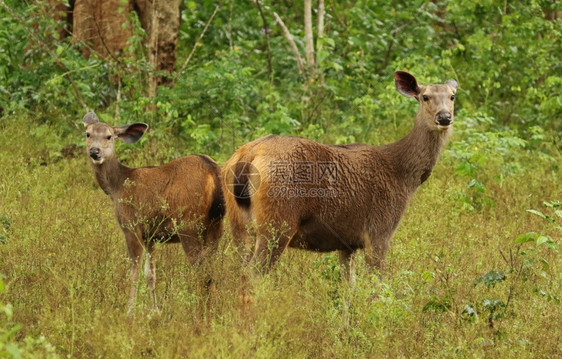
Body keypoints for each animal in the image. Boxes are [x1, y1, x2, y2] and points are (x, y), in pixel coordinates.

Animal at [83, 112, 223, 316]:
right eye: (88, 134)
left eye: (109, 136)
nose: (95, 151)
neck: (117, 187)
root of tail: (214, 171)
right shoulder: (150, 235)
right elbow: (150, 275)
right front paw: (155, 311)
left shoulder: (131, 227)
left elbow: (133, 274)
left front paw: (129, 312)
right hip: (216, 226)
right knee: (212, 270)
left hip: (189, 225)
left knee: (202, 271)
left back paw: (198, 313)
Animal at [221, 71, 452, 282]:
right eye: (425, 96)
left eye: (452, 96)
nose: (444, 117)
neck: (402, 175)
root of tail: (247, 156)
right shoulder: (379, 230)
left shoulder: (347, 243)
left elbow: (349, 287)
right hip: (278, 221)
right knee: (252, 274)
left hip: (238, 224)